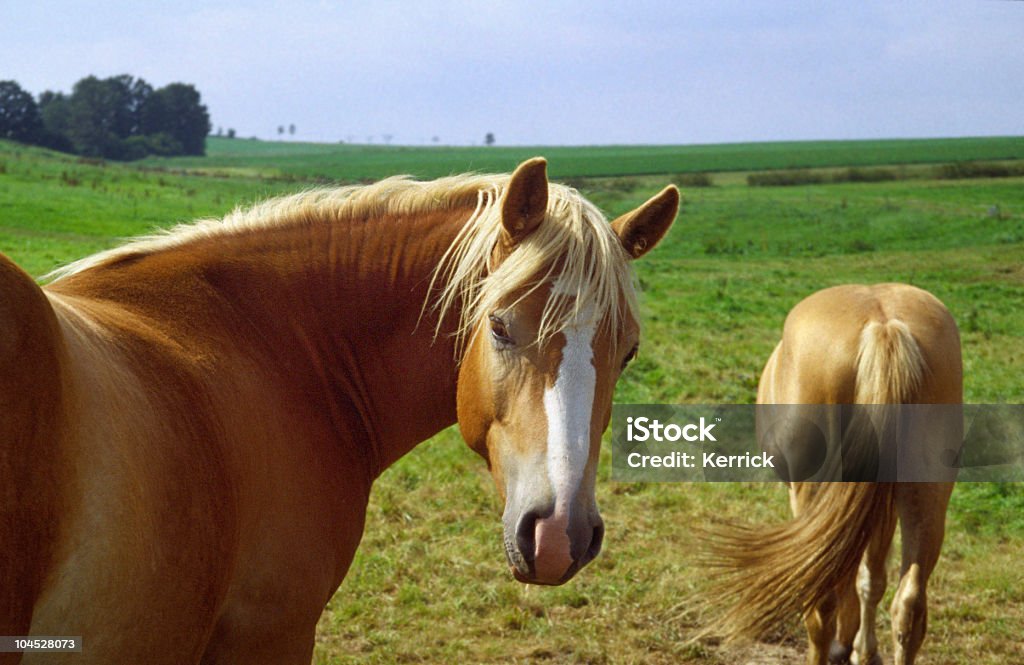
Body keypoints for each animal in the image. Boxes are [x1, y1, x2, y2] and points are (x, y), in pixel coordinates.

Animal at [708, 284, 962, 663]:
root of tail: (883, 328)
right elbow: (872, 578)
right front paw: (863, 650)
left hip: (815, 492)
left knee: (821, 605)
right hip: (926, 495)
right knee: (910, 605)